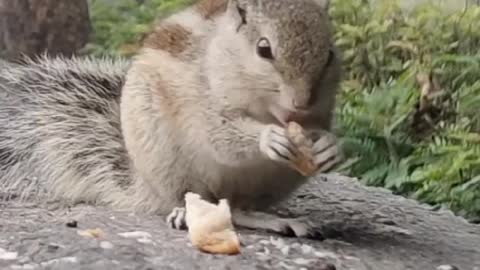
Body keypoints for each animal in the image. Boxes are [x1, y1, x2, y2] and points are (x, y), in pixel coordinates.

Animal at [0, 0, 342, 238]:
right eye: (264, 49)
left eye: (329, 54)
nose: (299, 104)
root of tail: (143, 184)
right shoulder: (204, 104)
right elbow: (222, 137)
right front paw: (268, 138)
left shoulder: (321, 112)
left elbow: (322, 129)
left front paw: (329, 147)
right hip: (168, 161)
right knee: (190, 198)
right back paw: (184, 213)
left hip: (273, 183)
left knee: (237, 209)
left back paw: (273, 219)